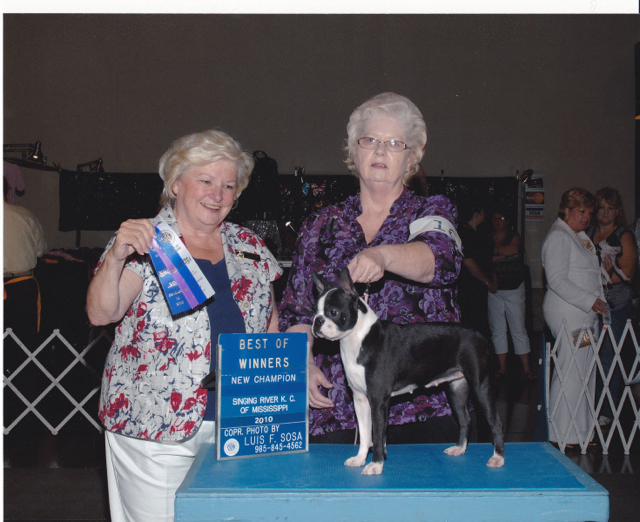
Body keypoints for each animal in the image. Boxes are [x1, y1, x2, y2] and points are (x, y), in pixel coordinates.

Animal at [312, 266, 504, 474]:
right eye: (315, 311)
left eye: (333, 312)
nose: (317, 321)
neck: (358, 339)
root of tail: (480, 336)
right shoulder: (360, 400)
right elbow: (364, 435)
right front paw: (360, 459)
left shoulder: (378, 401)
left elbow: (377, 436)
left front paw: (375, 465)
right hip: (456, 388)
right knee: (465, 419)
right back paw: (459, 449)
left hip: (480, 385)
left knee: (495, 421)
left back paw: (497, 458)